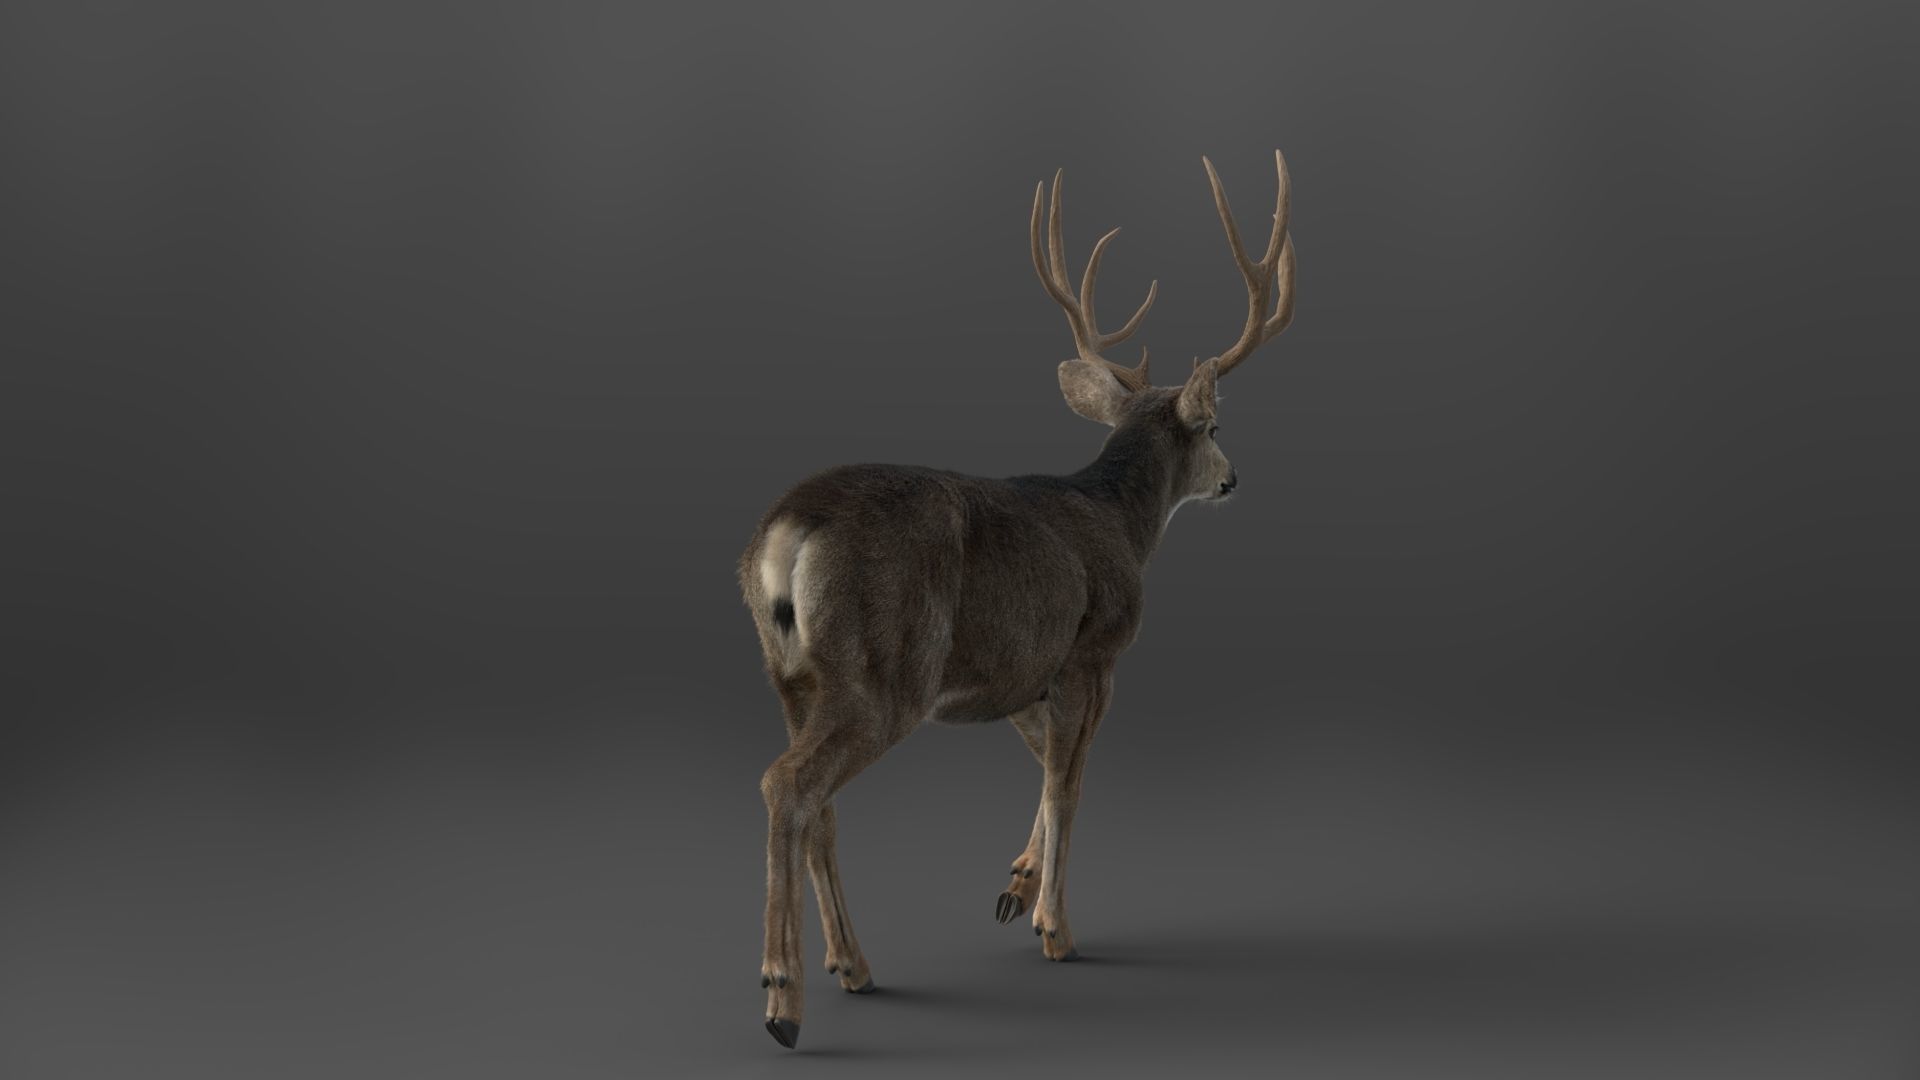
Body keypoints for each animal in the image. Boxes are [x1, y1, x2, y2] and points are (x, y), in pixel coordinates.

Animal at [737, 151, 1296, 1049]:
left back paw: (851, 965)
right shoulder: (1094, 650)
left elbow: (1045, 766)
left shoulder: (1019, 672)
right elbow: (1070, 783)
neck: (1122, 519)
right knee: (788, 785)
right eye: (1214, 428)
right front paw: (1054, 927)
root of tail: (788, 533)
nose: (1234, 477)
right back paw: (784, 999)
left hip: (788, 672)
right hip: (884, 672)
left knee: (818, 800)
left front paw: (1017, 884)